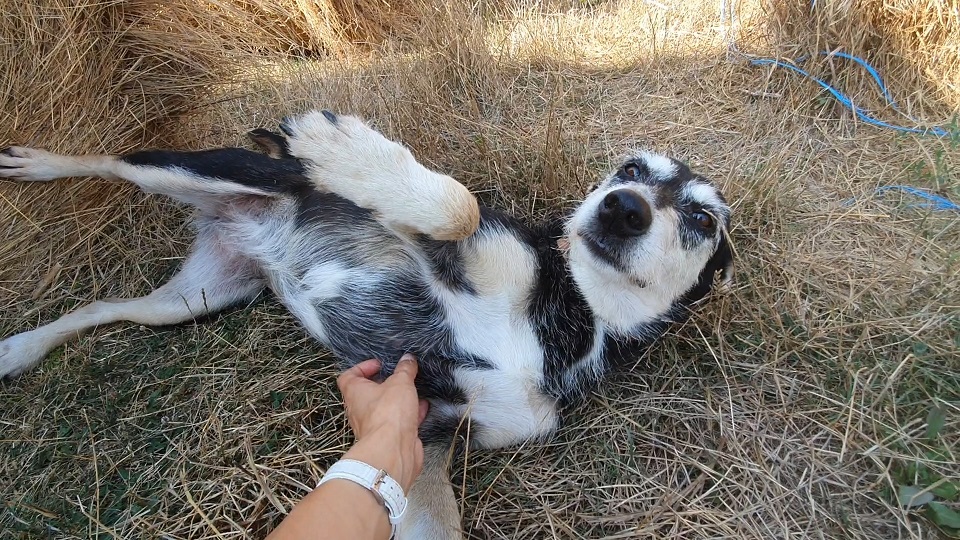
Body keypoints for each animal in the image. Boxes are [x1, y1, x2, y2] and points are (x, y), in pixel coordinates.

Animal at [1, 110, 736, 540]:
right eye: (630, 169)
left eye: (701, 218)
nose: (622, 207)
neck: (572, 320)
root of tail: (232, 226)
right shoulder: (432, 247)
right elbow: (459, 206)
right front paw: (343, 145)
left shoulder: (429, 431)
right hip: (201, 169)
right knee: (115, 159)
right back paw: (40, 162)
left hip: (196, 297)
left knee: (100, 309)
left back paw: (19, 348)